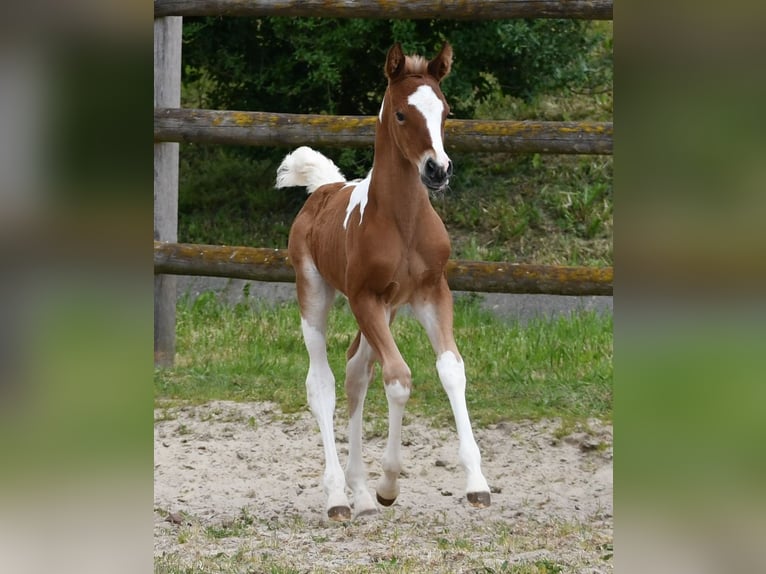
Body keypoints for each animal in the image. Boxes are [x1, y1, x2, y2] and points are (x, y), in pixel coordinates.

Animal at [275, 42, 491, 521]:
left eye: (445, 111)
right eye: (401, 114)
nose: (438, 170)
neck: (402, 221)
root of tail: (325, 188)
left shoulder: (431, 293)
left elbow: (451, 369)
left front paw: (477, 484)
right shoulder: (364, 298)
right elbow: (399, 378)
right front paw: (389, 483)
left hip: (388, 310)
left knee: (357, 372)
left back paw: (359, 492)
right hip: (315, 293)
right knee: (323, 383)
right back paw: (339, 496)